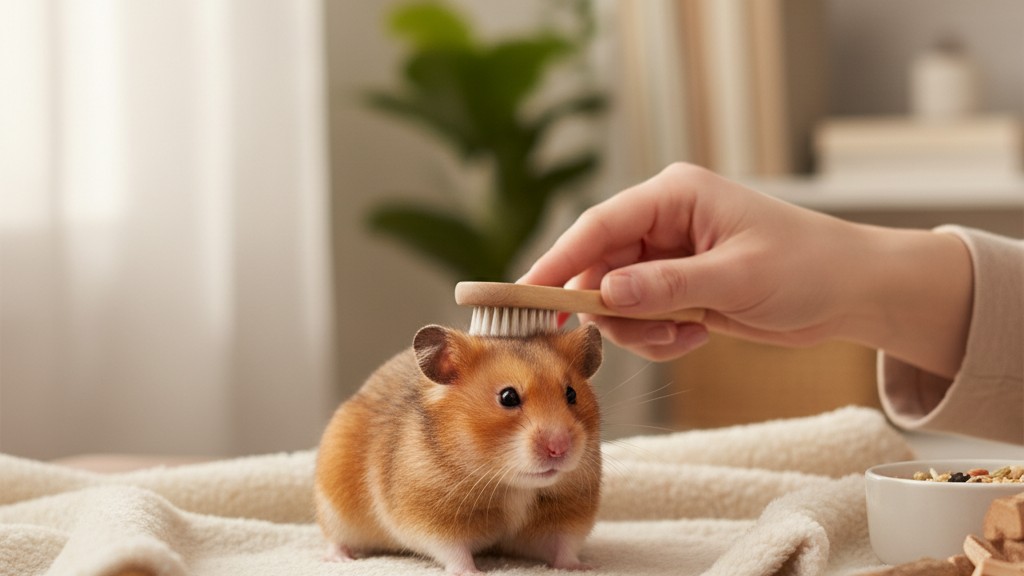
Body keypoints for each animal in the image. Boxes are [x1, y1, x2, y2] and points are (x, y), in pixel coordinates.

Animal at [314, 323, 603, 575]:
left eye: (571, 394)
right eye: (508, 397)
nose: (559, 449)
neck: (513, 486)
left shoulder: (568, 512)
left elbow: (564, 546)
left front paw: (582, 568)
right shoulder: (429, 516)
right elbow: (453, 550)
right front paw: (473, 572)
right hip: (333, 502)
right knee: (334, 537)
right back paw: (340, 559)